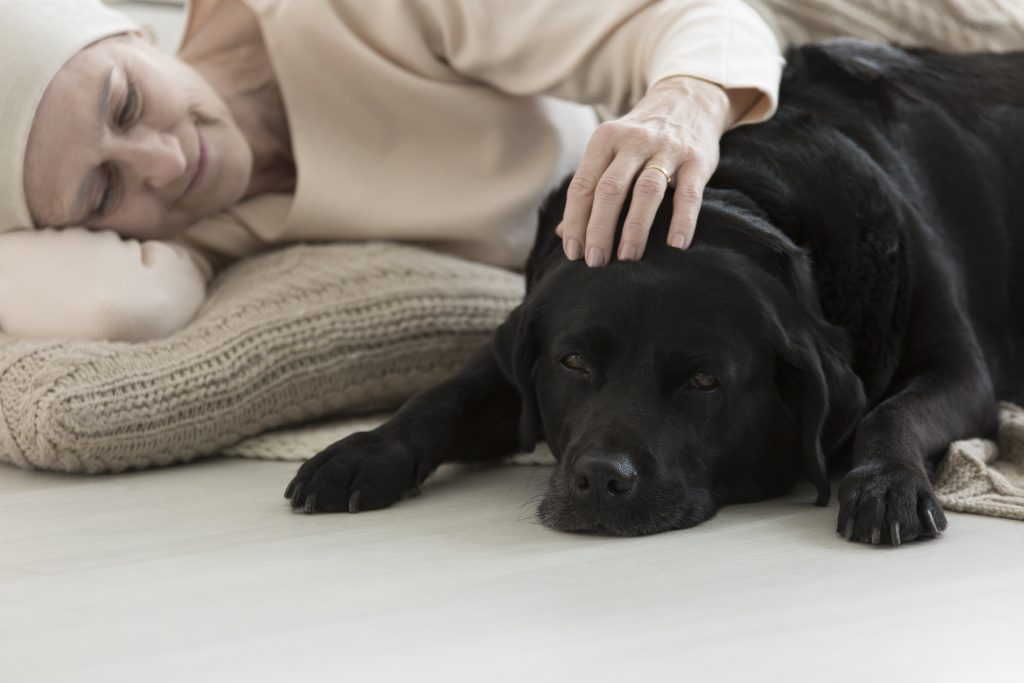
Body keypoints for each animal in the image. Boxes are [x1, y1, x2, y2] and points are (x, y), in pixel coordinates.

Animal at [282, 41, 1024, 544]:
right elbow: (445, 394)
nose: (600, 480)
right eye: (573, 363)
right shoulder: (517, 356)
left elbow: (889, 413)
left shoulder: (962, 372)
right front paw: (363, 451)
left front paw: (886, 483)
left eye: (704, 381)